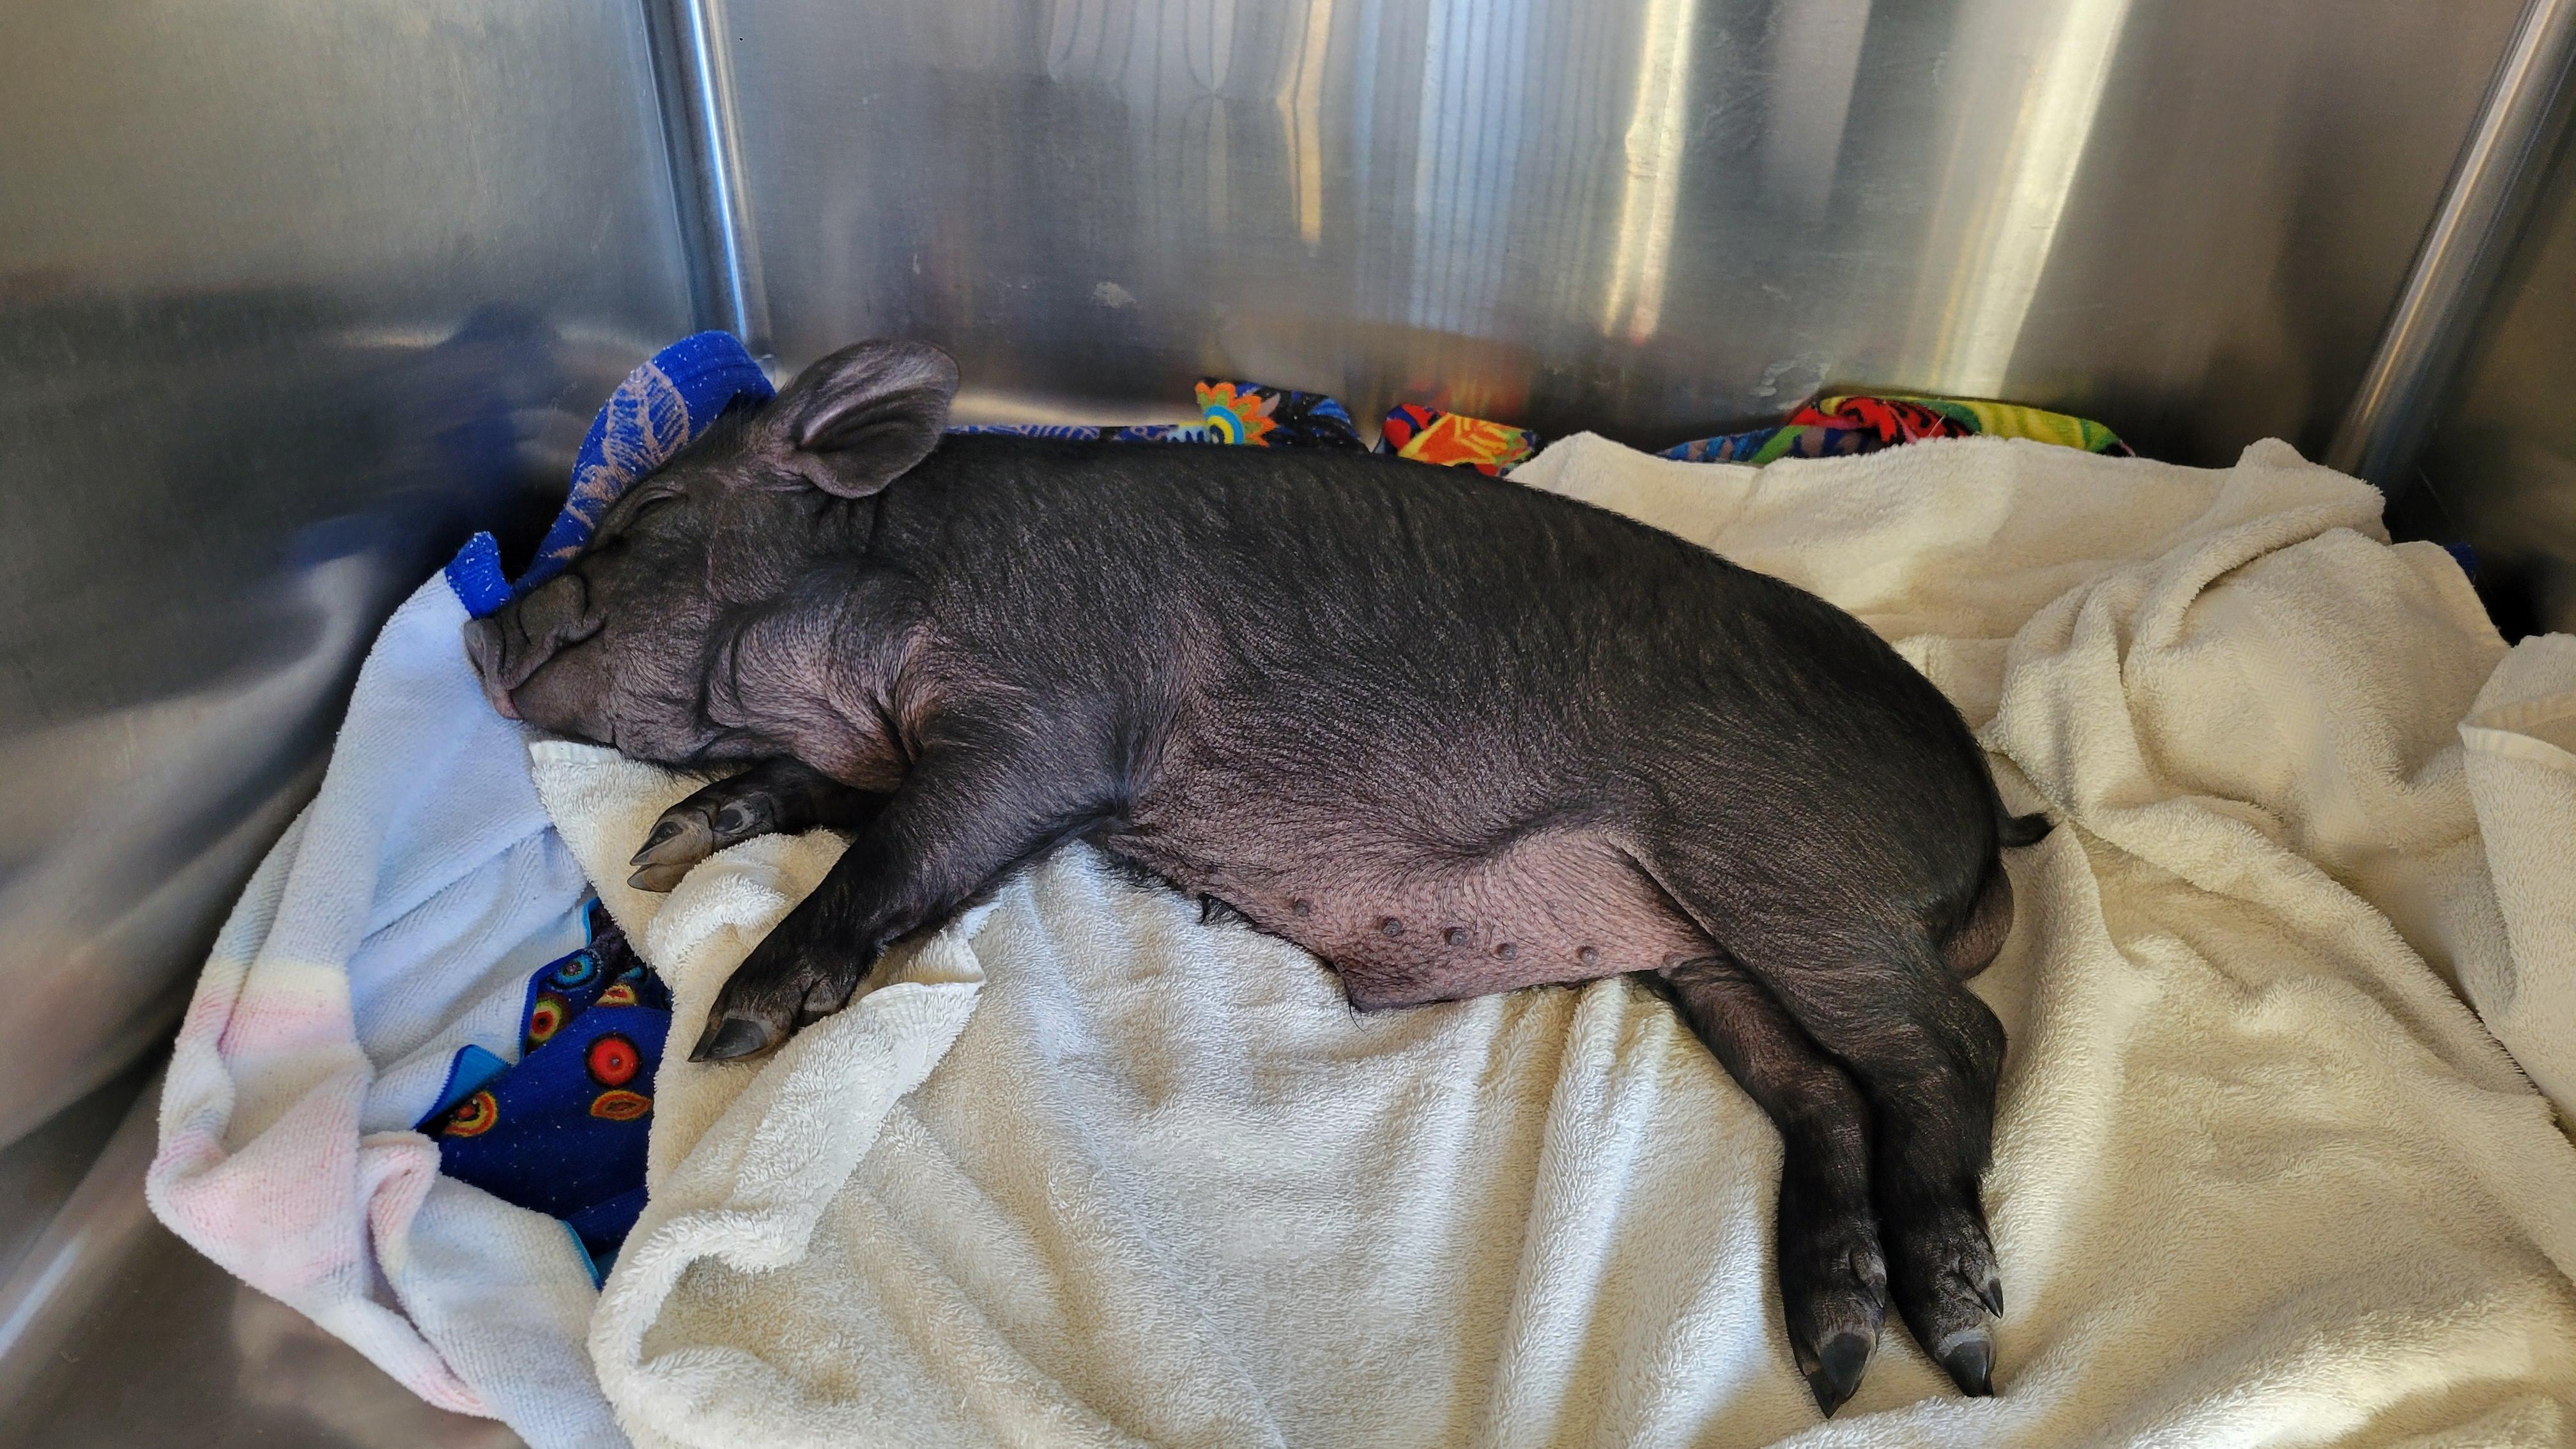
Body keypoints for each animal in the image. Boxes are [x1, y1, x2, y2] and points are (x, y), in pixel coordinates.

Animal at [465, 339, 2047, 1416]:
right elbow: (821, 798)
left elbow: (901, 848)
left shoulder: (1054, 718)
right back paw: (1832, 1355)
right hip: (1706, 952)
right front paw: (677, 838)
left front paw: (735, 1024)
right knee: (1826, 1091)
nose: (479, 632)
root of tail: (1983, 815)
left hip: (1783, 870)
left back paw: (1965, 1346)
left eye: (639, 525)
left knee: (1956, 1043)